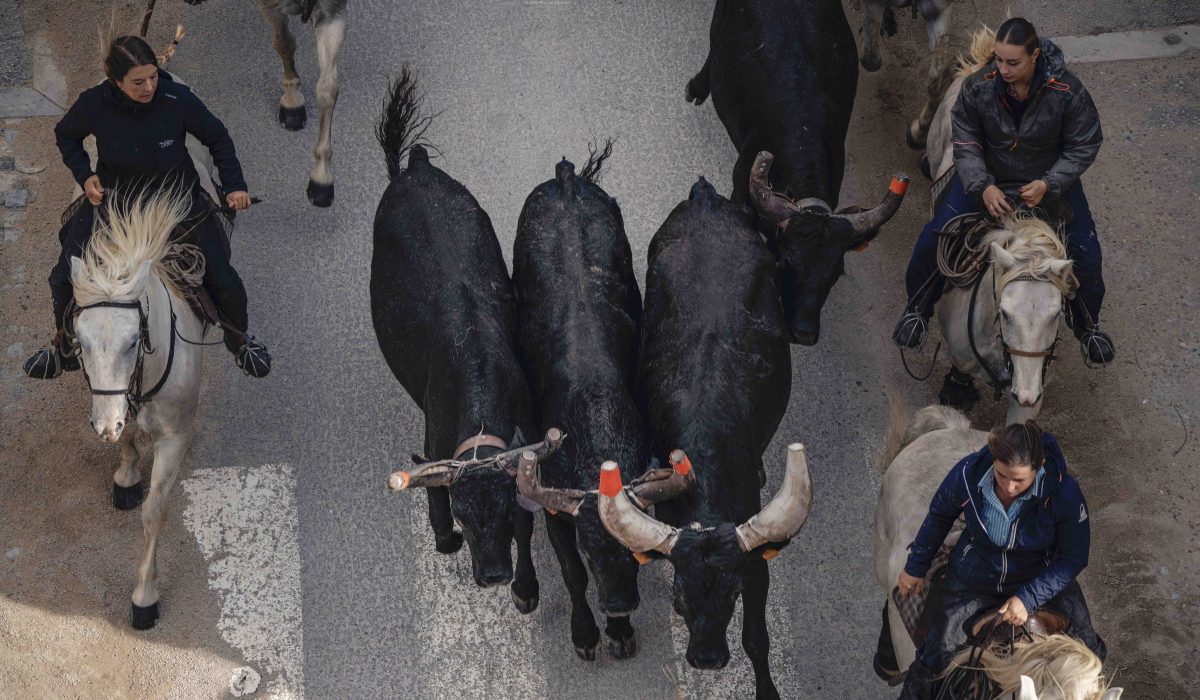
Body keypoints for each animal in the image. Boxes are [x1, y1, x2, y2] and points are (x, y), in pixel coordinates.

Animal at [66, 188, 209, 630]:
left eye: (133, 342)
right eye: (79, 341)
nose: (103, 426)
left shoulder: (175, 439)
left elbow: (153, 513)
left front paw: (145, 596)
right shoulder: (119, 403)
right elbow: (128, 435)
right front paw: (127, 474)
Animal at [184, 0, 347, 207]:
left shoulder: (333, 12)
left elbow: (327, 89)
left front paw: (322, 176)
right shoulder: (271, 8)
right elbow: (284, 43)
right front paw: (292, 99)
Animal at [370, 69, 545, 611]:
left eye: (505, 514)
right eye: (465, 516)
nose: (492, 575)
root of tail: (417, 169)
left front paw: (526, 588)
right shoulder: (434, 445)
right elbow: (433, 496)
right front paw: (444, 539)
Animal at [597, 177, 813, 699]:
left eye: (732, 594)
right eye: (678, 596)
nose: (708, 660)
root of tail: (706, 197)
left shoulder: (756, 568)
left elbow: (757, 638)